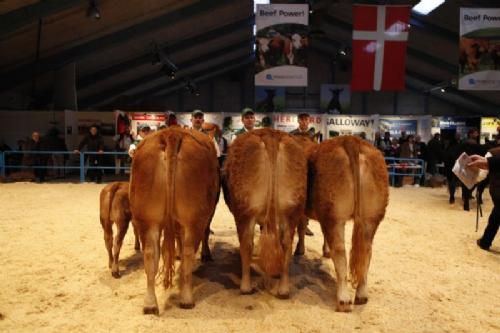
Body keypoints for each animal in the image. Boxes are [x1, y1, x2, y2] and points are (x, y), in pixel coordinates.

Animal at [130, 126, 220, 312]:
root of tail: (172, 133)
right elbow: (206, 232)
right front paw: (206, 254)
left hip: (147, 219)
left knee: (150, 255)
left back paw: (150, 304)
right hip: (194, 219)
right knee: (188, 253)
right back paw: (186, 299)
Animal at [224, 127, 308, 296]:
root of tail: (270, 134)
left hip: (245, 210)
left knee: (246, 243)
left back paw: (245, 286)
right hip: (292, 209)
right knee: (286, 243)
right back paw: (283, 288)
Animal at [306, 135, 388, 312]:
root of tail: (351, 140)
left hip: (334, 215)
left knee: (340, 252)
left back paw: (343, 300)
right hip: (371, 216)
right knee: (367, 251)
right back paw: (362, 295)